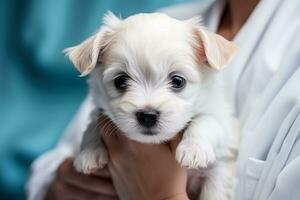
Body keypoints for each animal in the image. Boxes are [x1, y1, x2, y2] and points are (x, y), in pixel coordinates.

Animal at [65, 12, 239, 200]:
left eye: (178, 81)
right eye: (120, 81)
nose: (147, 115)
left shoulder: (224, 122)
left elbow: (207, 121)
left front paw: (193, 149)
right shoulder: (101, 111)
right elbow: (93, 125)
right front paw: (89, 153)